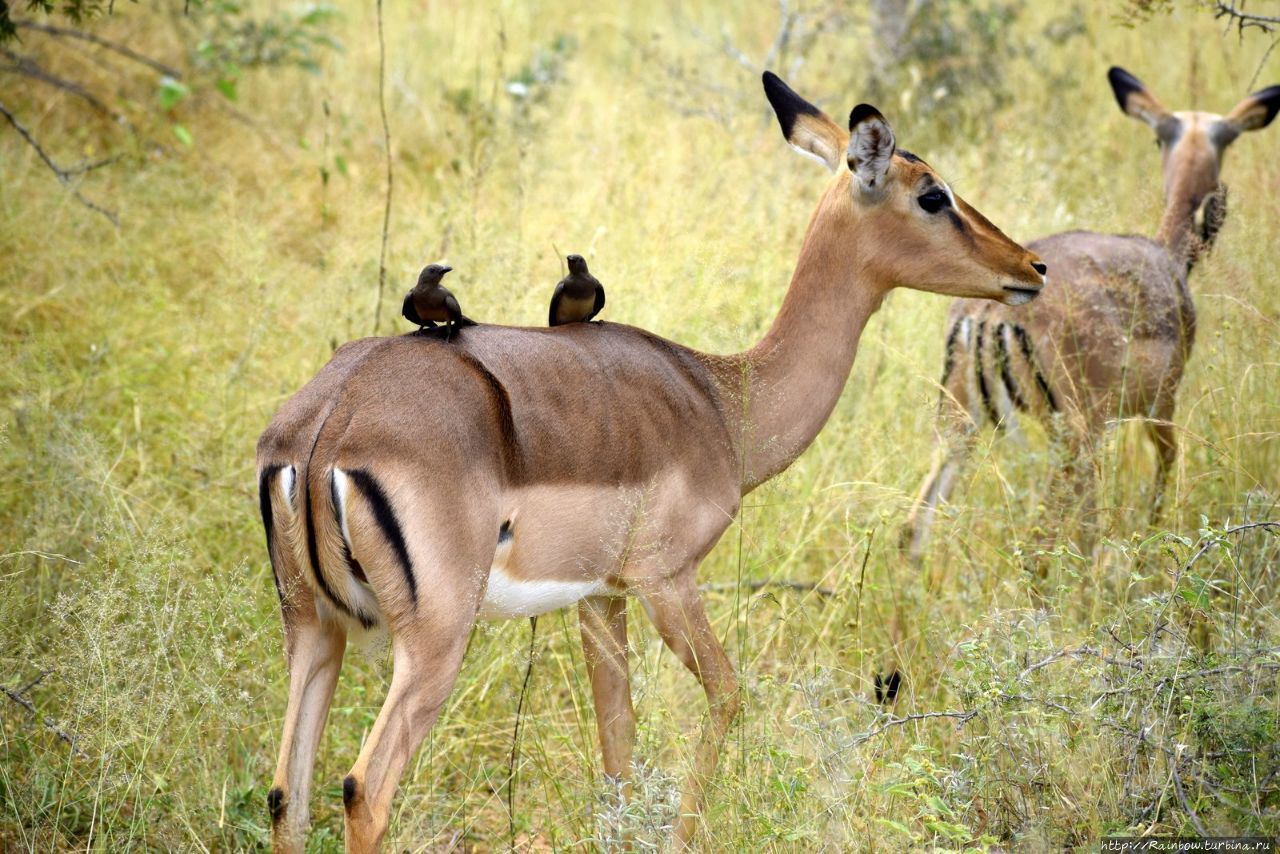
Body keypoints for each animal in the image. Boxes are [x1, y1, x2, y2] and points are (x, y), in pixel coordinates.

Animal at [254, 70, 1044, 850]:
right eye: (932, 193)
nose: (1030, 266)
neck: (721, 399)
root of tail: (328, 425)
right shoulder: (668, 580)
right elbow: (726, 696)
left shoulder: (599, 596)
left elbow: (618, 751)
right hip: (434, 639)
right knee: (363, 787)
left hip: (313, 629)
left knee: (286, 794)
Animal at [901, 68, 1280, 568]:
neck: (1167, 258)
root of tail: (984, 315)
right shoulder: (1161, 406)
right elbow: (1162, 470)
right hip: (1073, 438)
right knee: (1041, 545)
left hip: (961, 425)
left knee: (913, 529)